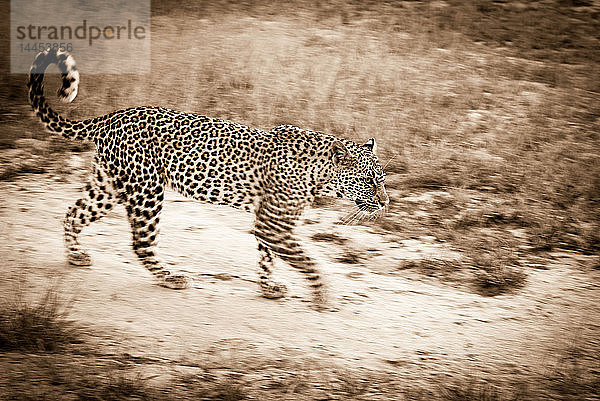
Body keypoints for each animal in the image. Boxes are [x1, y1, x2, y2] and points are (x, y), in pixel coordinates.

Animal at [28, 49, 390, 306]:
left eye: (383, 179)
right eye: (369, 181)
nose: (386, 202)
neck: (320, 172)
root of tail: (112, 115)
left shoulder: (270, 222)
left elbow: (267, 257)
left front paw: (269, 287)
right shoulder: (274, 223)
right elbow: (307, 261)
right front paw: (323, 295)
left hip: (109, 186)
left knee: (73, 213)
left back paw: (75, 256)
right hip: (147, 192)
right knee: (141, 243)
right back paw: (171, 278)